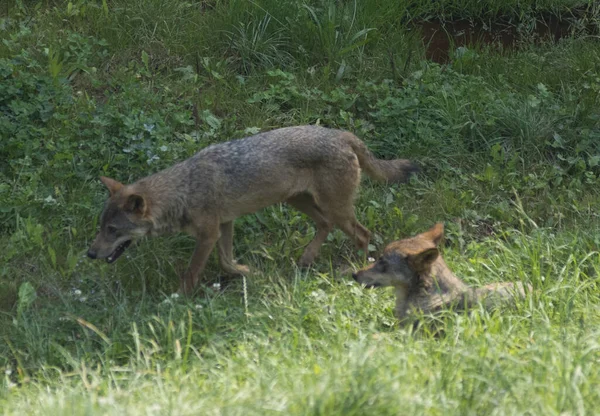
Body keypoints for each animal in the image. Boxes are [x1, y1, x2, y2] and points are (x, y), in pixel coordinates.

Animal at [88, 125, 418, 294]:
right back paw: (306, 261)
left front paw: (178, 301)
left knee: (363, 235)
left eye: (113, 230)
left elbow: (191, 273)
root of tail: (342, 134)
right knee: (325, 225)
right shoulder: (225, 225)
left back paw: (362, 271)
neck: (185, 189)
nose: (90, 254)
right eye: (100, 227)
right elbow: (227, 263)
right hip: (298, 201)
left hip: (335, 209)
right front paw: (252, 273)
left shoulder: (208, 234)